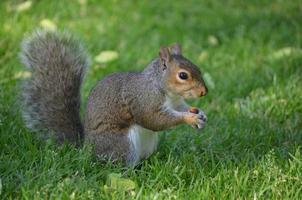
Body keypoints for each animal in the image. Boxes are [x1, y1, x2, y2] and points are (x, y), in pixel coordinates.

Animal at [20, 30, 208, 166]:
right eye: (183, 75)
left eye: (198, 68)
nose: (204, 92)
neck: (164, 89)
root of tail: (87, 149)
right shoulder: (143, 101)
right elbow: (154, 120)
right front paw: (190, 118)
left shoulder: (176, 102)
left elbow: (180, 109)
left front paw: (200, 114)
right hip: (123, 144)